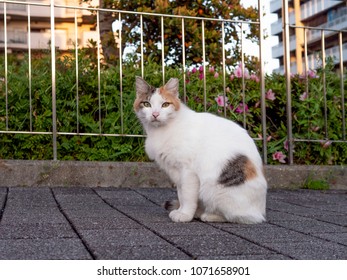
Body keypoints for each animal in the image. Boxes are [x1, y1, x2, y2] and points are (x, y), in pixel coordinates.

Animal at [135, 76, 268, 223]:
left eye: (165, 104)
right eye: (147, 104)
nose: (155, 114)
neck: (161, 131)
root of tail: (261, 211)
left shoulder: (188, 172)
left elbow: (187, 196)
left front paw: (185, 215)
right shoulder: (177, 173)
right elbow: (181, 195)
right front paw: (182, 211)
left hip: (214, 190)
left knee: (235, 216)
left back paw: (208, 215)